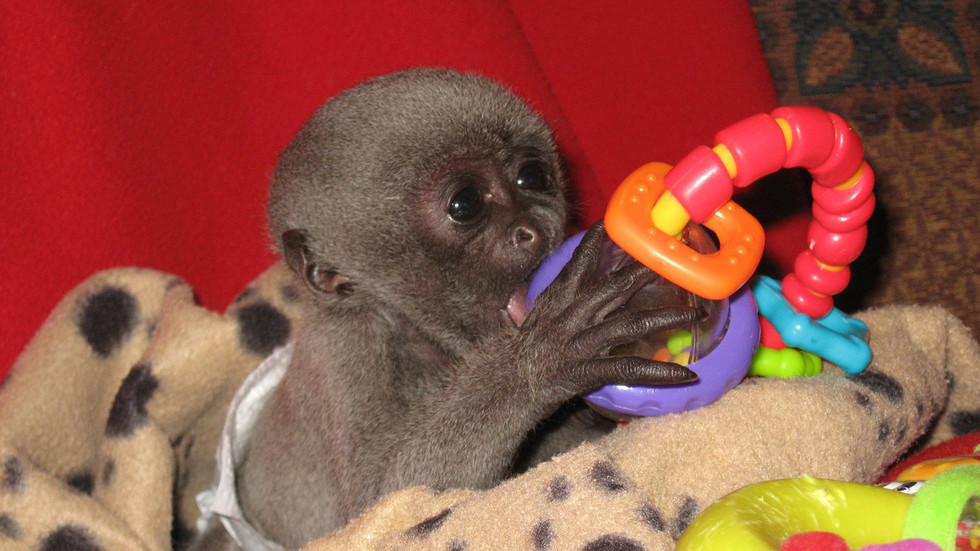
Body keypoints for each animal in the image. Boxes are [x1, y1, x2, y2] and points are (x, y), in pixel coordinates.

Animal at [198, 69, 701, 550]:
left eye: (532, 177)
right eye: (465, 204)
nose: (533, 228)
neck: (429, 343)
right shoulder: (343, 349)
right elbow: (383, 504)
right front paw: (539, 361)